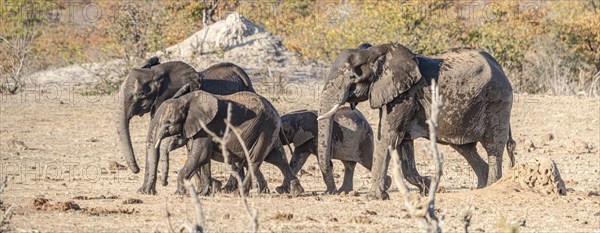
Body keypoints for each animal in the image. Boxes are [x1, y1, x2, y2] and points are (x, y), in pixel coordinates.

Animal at [114, 57, 253, 194]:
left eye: (140, 94)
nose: (136, 169)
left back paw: (229, 189)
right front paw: (143, 192)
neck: (157, 72)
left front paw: (206, 190)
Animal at [146, 90, 304, 196]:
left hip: (265, 128)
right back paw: (296, 192)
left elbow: (201, 155)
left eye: (168, 123)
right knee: (277, 158)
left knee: (254, 159)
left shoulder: (206, 126)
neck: (185, 100)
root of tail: (276, 111)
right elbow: (202, 157)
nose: (163, 185)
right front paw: (204, 193)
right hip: (269, 129)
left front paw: (179, 193)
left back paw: (240, 193)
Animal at [318, 42, 516, 199]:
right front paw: (427, 187)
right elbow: (403, 142)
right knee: (465, 148)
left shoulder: (405, 96)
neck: (376, 52)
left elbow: (388, 137)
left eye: (353, 77)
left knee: (493, 146)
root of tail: (499, 67)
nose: (331, 163)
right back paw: (480, 187)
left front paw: (374, 197)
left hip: (497, 100)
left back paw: (490, 186)